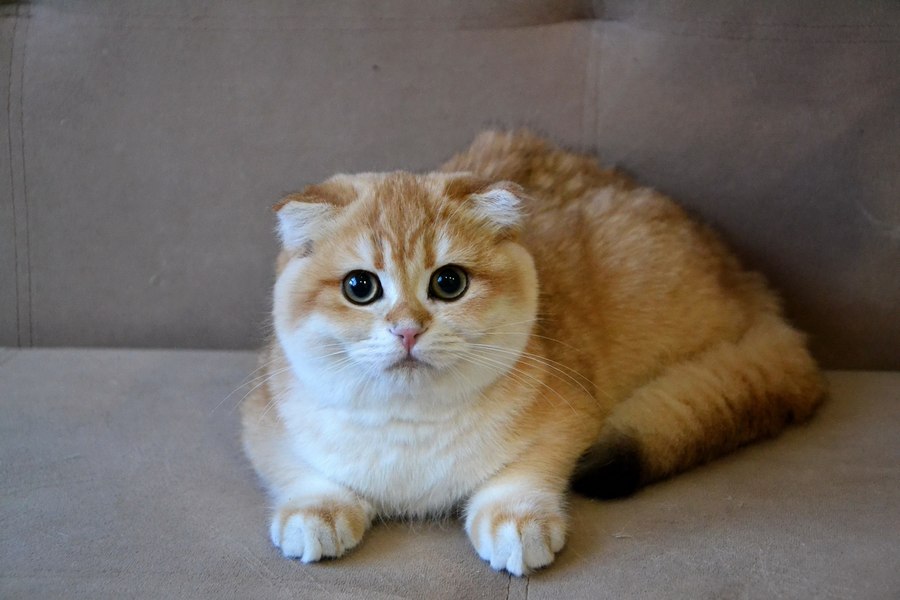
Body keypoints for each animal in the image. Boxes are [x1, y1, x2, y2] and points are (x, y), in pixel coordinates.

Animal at [241, 130, 824, 575]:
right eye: (360, 287)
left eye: (449, 283)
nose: (407, 331)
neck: (410, 426)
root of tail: (749, 282)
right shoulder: (264, 420)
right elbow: (297, 469)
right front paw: (317, 510)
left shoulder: (570, 418)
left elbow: (527, 471)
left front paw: (516, 520)